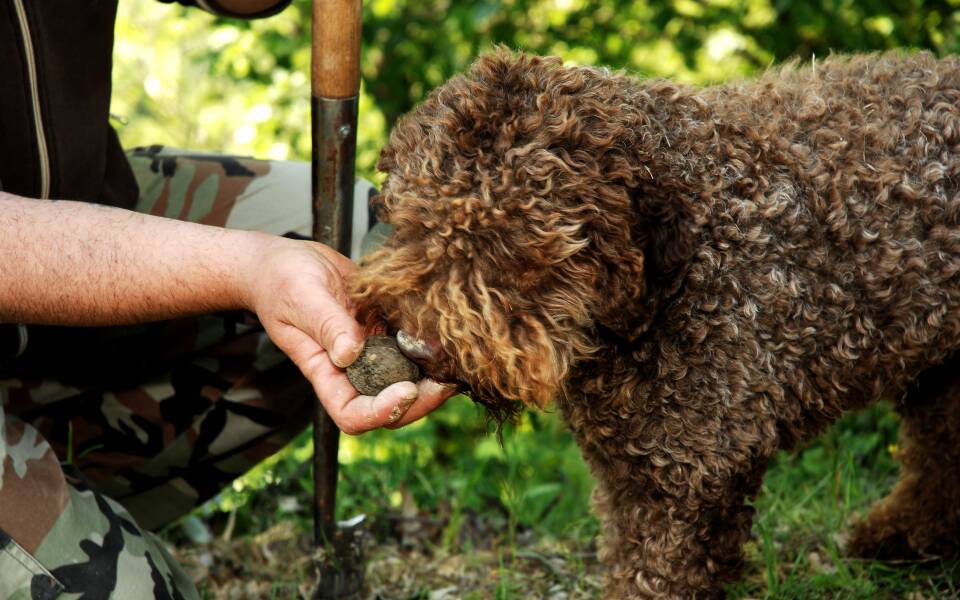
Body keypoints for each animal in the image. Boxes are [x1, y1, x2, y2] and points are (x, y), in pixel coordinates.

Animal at [350, 49, 960, 596]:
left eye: (513, 245)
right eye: (414, 222)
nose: (414, 343)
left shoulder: (691, 471)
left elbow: (656, 574)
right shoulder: (625, 467)